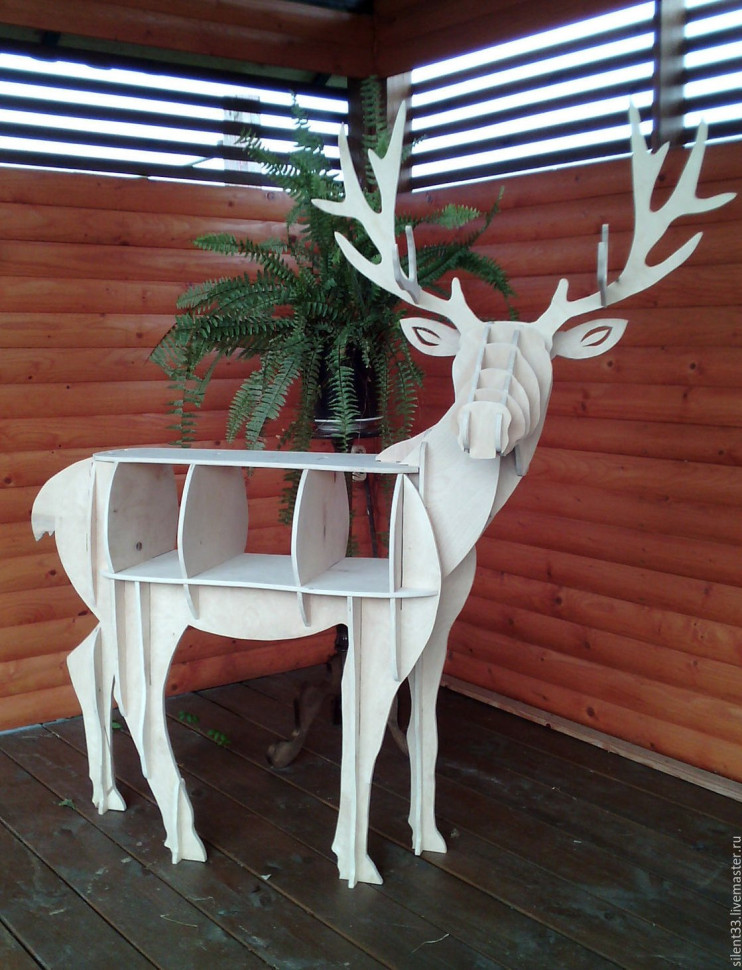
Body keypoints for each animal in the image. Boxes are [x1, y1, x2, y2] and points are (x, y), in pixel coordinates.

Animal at [32, 103, 733, 888]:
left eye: (542, 362)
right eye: (461, 360)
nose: (484, 428)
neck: (450, 515)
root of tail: (51, 499)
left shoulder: (438, 624)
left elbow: (423, 731)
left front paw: (430, 840)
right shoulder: (375, 621)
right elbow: (364, 739)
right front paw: (358, 863)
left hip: (109, 600)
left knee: (83, 659)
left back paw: (111, 797)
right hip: (146, 602)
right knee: (136, 696)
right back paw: (186, 840)